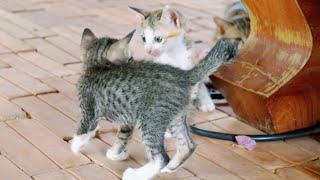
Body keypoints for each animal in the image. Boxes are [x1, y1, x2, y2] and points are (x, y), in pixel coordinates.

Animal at [71, 28, 239, 180]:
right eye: (129, 58)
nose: (132, 61)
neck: (98, 66)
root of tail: (185, 75)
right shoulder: (128, 119)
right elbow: (123, 138)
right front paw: (117, 154)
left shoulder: (89, 112)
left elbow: (82, 132)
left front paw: (73, 147)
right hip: (175, 117)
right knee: (187, 145)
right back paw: (170, 168)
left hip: (150, 120)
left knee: (161, 157)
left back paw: (136, 175)